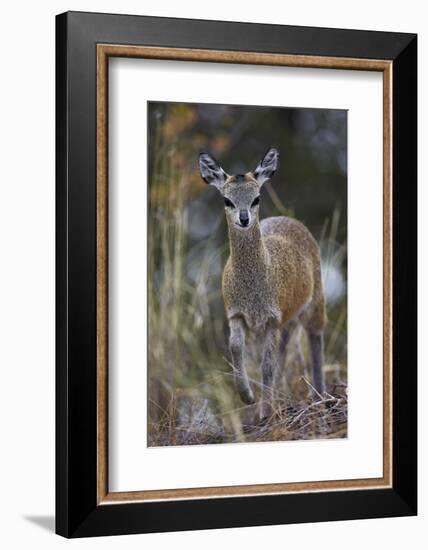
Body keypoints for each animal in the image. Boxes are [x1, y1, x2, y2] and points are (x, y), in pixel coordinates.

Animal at [199, 149, 326, 420]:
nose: (244, 218)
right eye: (227, 200)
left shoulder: (271, 318)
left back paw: (320, 396)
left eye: (256, 197)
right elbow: (236, 347)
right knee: (285, 350)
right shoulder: (236, 313)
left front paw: (264, 412)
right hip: (287, 321)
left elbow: (266, 365)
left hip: (315, 302)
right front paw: (248, 397)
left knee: (315, 335)